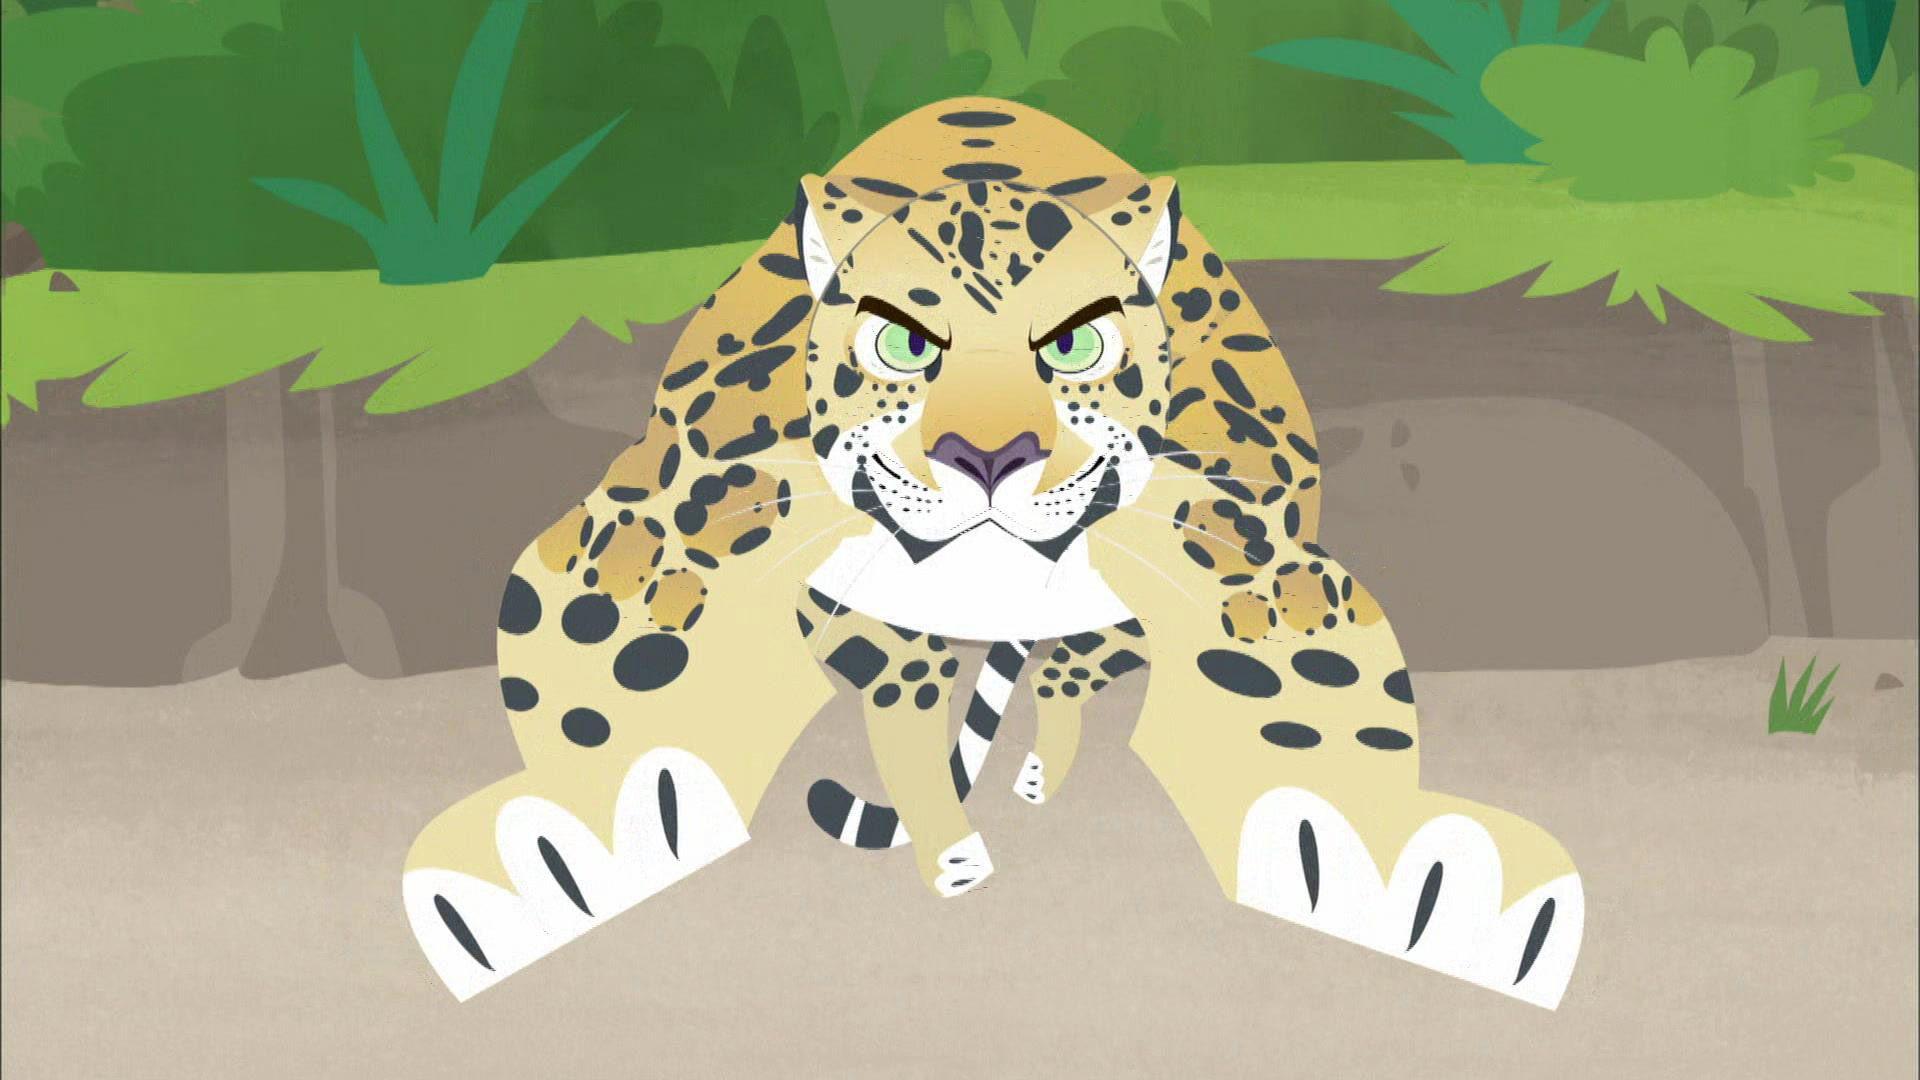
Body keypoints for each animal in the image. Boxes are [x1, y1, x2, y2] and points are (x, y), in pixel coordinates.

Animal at [403, 98, 1585, 1008]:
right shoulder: (670, 517)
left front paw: (1396, 876)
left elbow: (1317, 701)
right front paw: (573, 848)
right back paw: (956, 843)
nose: (987, 456)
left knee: (1058, 675)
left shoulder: (1246, 549)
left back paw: (1030, 773)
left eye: (1075, 344)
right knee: (911, 707)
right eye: (899, 343)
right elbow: (611, 664)